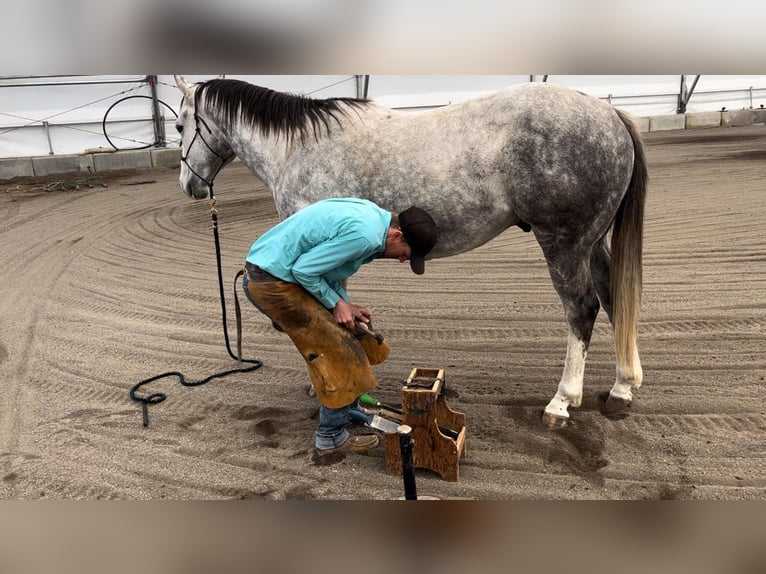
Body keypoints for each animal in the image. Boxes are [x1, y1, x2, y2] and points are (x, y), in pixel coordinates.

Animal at [172, 75, 648, 428]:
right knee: (613, 299)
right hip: (592, 243)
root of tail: (609, 114)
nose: (189, 185)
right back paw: (622, 388)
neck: (298, 148)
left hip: (564, 244)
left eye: (179, 127)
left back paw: (562, 401)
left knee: (582, 309)